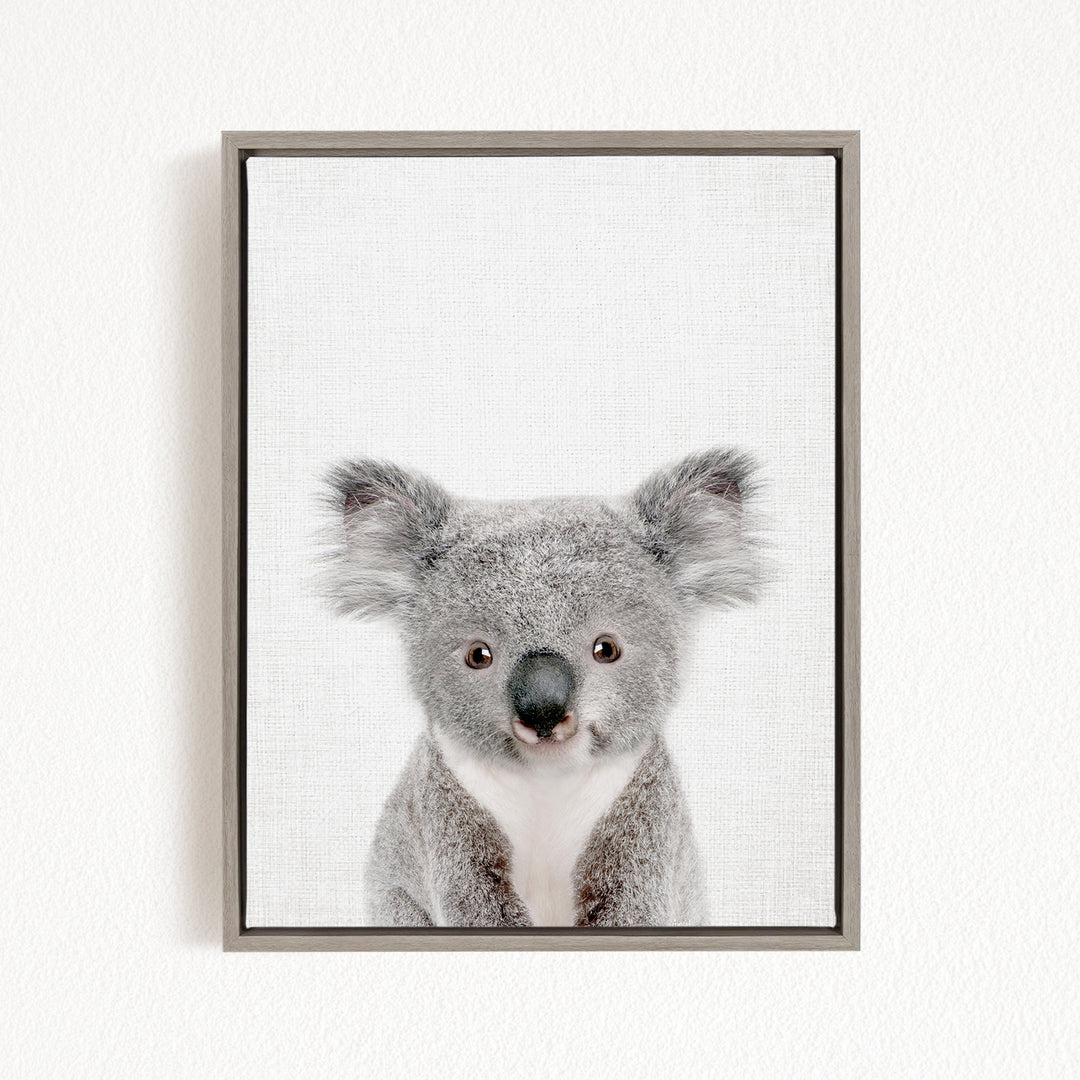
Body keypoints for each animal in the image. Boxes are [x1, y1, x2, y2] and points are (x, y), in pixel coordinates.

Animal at [323, 448, 760, 927]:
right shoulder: (445, 813)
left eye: (606, 649)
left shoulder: (644, 815)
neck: (547, 782)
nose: (543, 710)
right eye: (478, 655)